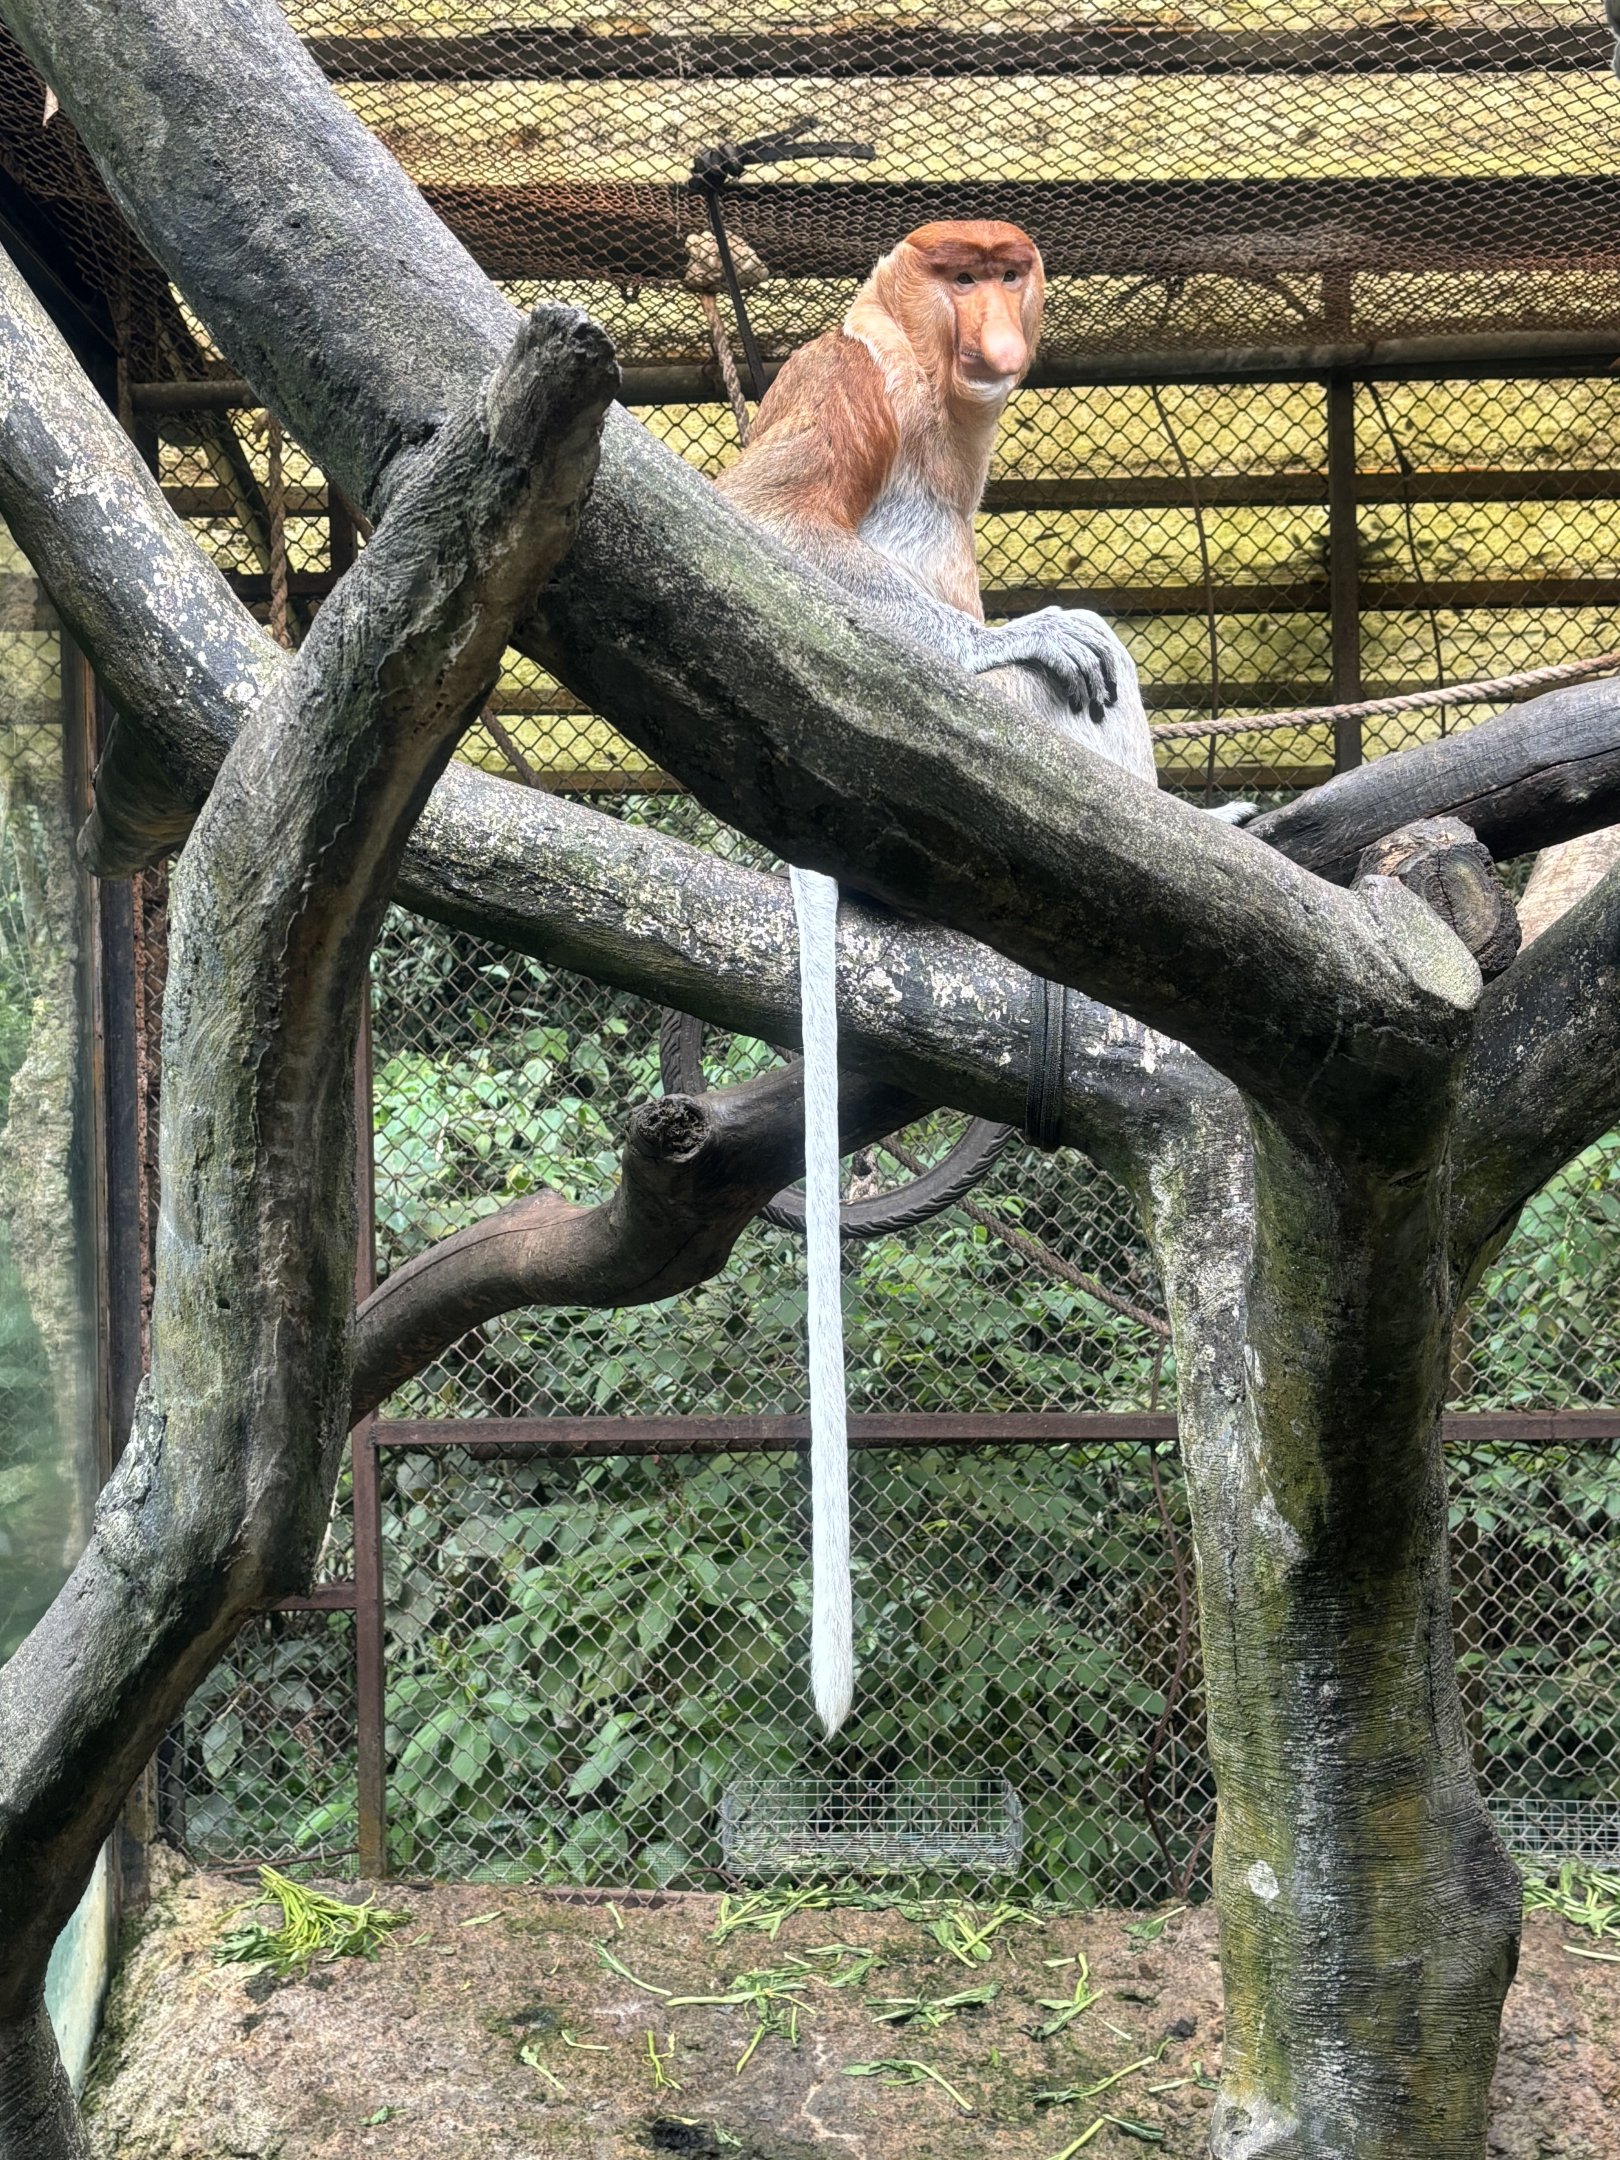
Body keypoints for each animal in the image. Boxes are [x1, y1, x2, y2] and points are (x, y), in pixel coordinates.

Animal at [711, 222, 1156, 1740]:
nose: (996, 326)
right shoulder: (842, 375)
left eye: (1008, 272)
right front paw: (1016, 633)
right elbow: (769, 529)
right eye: (957, 276)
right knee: (1058, 686)